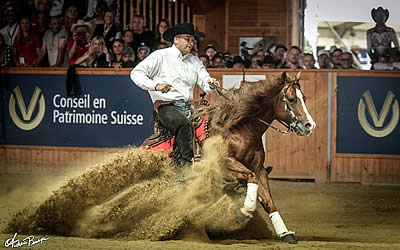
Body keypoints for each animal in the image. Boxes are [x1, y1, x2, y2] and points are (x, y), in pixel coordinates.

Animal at [142, 71, 318, 243]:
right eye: (292, 99)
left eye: (304, 98)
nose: (310, 125)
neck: (239, 129)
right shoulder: (226, 164)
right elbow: (251, 177)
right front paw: (243, 212)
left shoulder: (259, 169)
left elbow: (268, 201)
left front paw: (284, 232)